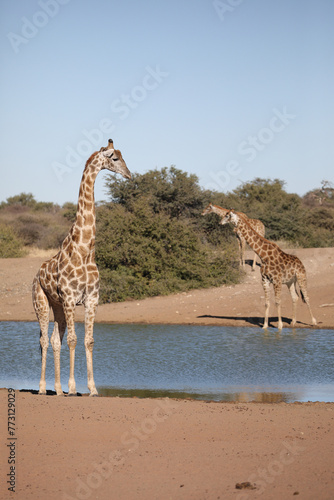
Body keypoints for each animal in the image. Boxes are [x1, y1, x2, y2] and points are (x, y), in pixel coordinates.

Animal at [31, 139, 130, 396]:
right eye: (115, 158)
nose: (129, 174)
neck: (85, 250)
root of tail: (36, 276)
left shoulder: (91, 299)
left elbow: (88, 340)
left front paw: (92, 389)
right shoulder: (69, 298)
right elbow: (74, 340)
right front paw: (74, 387)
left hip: (57, 307)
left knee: (54, 340)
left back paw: (57, 388)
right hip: (41, 303)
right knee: (44, 340)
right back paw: (43, 388)